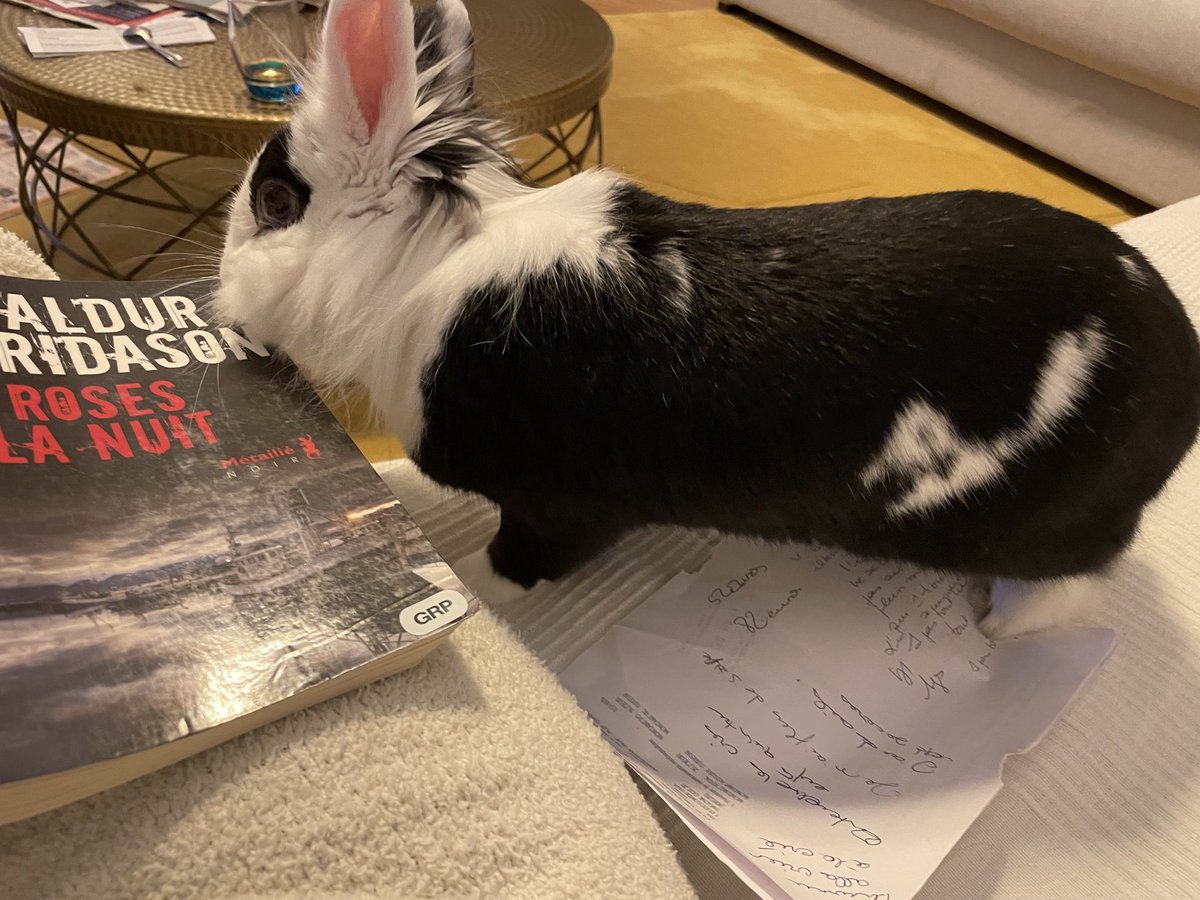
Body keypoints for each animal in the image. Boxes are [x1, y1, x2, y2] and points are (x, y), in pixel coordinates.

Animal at [215, 0, 1200, 638]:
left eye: (274, 202)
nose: (219, 298)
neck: (422, 269)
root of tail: (1180, 369)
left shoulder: (558, 505)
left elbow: (516, 563)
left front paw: (474, 593)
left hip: (1035, 538)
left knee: (1067, 597)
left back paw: (997, 631)